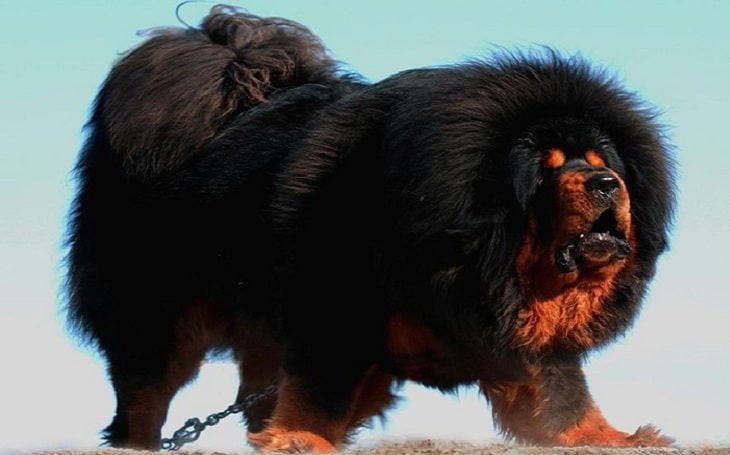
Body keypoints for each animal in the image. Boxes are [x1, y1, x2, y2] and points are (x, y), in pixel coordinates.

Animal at [64, 4, 676, 452]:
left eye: (604, 163)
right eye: (546, 170)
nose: (604, 183)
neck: (472, 257)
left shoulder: (515, 324)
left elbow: (562, 389)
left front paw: (612, 436)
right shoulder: (335, 307)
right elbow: (320, 386)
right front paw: (302, 438)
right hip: (156, 310)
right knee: (145, 391)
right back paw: (141, 443)